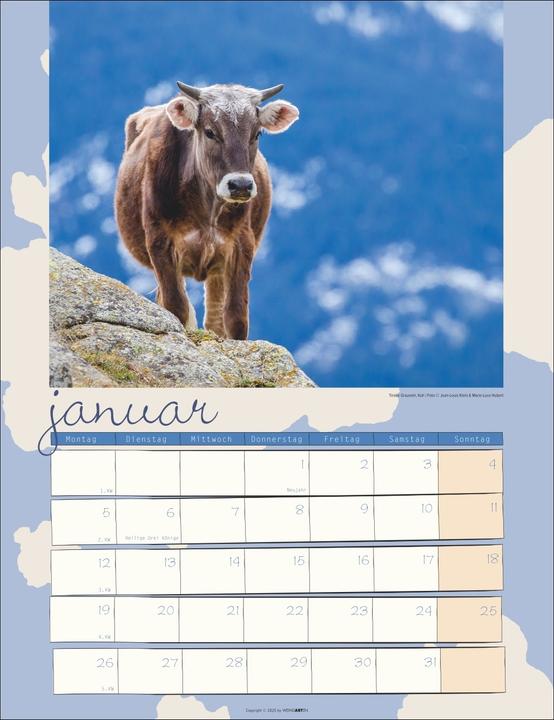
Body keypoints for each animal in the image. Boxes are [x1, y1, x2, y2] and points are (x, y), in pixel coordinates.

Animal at [115, 82, 299, 340]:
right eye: (210, 132)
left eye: (257, 134)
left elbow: (235, 318)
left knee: (215, 317)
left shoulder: (241, 243)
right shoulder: (159, 241)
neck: (206, 212)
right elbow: (176, 307)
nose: (240, 185)